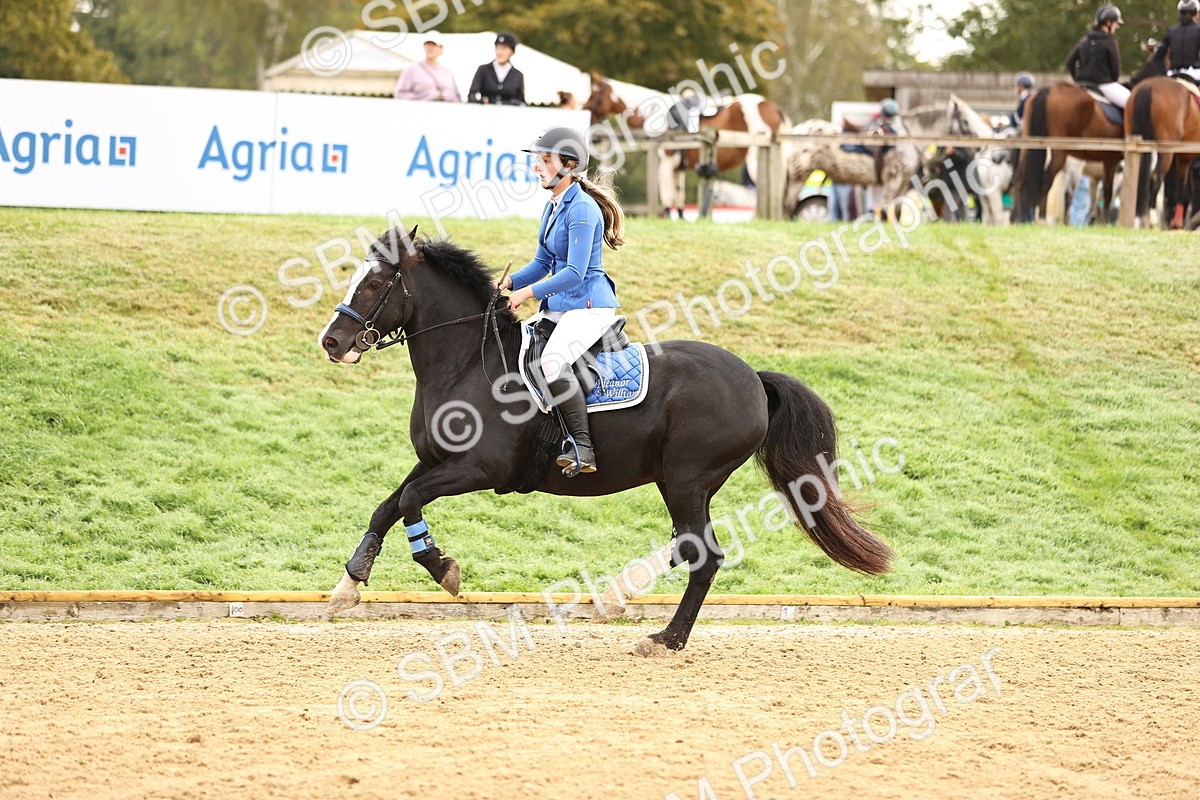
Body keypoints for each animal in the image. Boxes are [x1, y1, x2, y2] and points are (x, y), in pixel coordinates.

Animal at [317, 227, 892, 654]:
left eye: (373, 283)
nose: (332, 342)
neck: (466, 364)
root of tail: (752, 376)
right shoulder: (434, 460)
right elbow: (388, 506)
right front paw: (348, 586)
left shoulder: (478, 470)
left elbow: (410, 502)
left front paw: (444, 569)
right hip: (680, 482)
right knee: (688, 545)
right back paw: (618, 599)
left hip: (687, 477)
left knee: (703, 554)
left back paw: (665, 638)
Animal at [584, 73, 790, 217]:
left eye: (594, 93)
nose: (585, 112)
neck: (654, 113)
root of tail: (772, 107)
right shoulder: (677, 168)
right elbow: (679, 196)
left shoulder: (665, 164)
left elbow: (667, 196)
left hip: (756, 158)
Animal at [1127, 77, 1200, 229]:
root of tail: (1148, 87)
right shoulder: (1186, 158)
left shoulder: (1183, 159)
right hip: (1166, 151)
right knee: (1155, 178)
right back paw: (1152, 219)